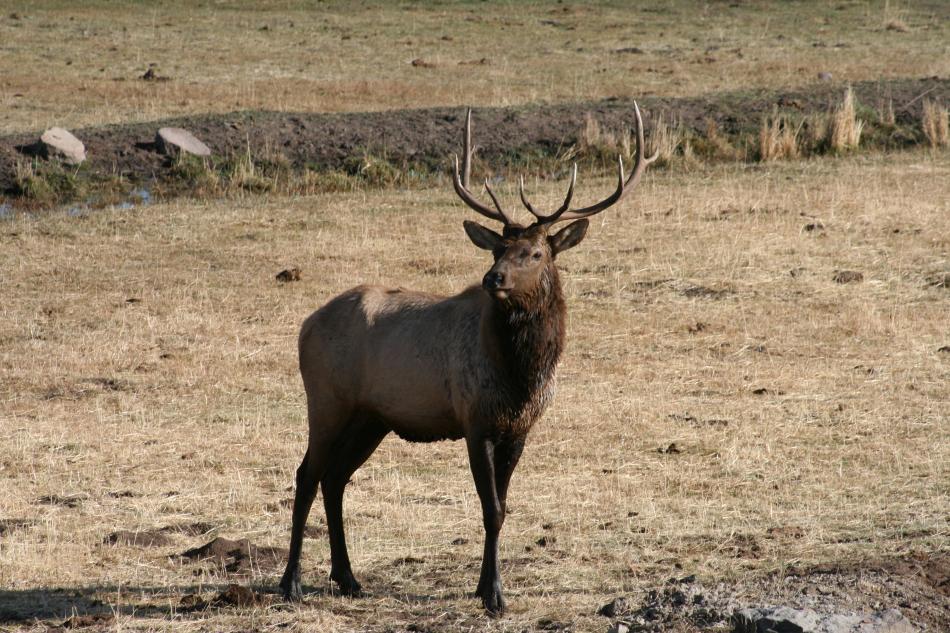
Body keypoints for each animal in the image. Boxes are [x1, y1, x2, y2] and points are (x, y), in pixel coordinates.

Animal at [279, 104, 657, 615]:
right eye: (498, 248)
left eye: (536, 253)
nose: (492, 278)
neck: (520, 377)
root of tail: (305, 325)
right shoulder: (475, 420)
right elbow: (491, 508)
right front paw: (494, 595)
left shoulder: (519, 429)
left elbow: (504, 506)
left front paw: (484, 587)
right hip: (326, 400)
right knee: (307, 475)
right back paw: (291, 583)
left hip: (370, 418)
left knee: (335, 478)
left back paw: (348, 577)